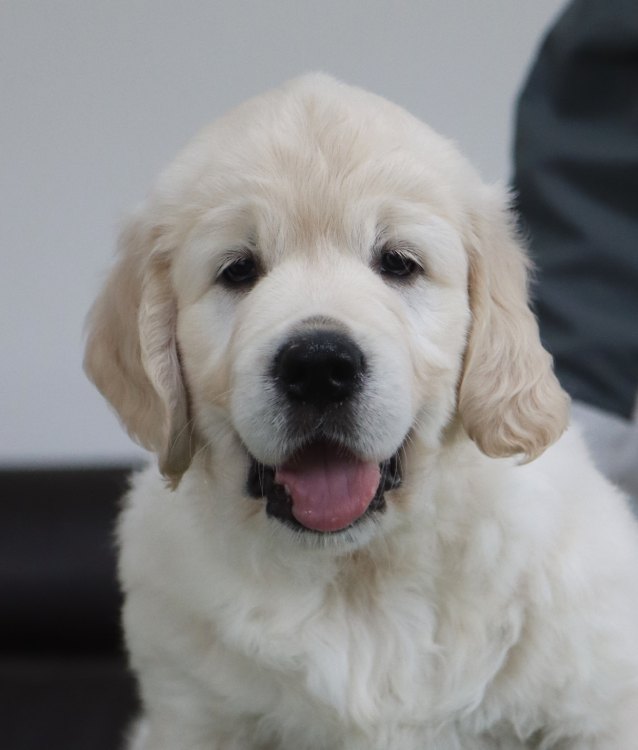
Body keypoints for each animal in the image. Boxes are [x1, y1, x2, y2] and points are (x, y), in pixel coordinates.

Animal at [85, 74, 638, 749]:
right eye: (238, 269)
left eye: (397, 262)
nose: (318, 367)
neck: (358, 576)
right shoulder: (192, 717)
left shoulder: (598, 705)